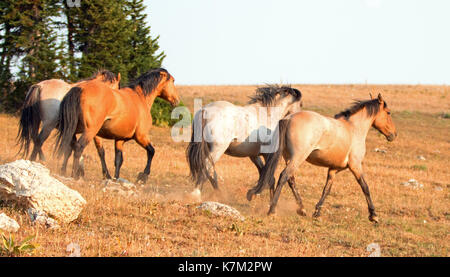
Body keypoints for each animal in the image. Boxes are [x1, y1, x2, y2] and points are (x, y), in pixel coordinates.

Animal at [250, 92, 398, 222]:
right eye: (388, 112)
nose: (394, 135)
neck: (353, 129)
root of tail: (288, 118)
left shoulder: (333, 169)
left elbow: (326, 190)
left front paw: (317, 213)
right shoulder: (355, 166)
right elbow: (365, 187)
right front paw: (373, 215)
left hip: (288, 158)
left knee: (291, 179)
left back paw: (302, 209)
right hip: (298, 157)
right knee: (284, 176)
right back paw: (272, 210)